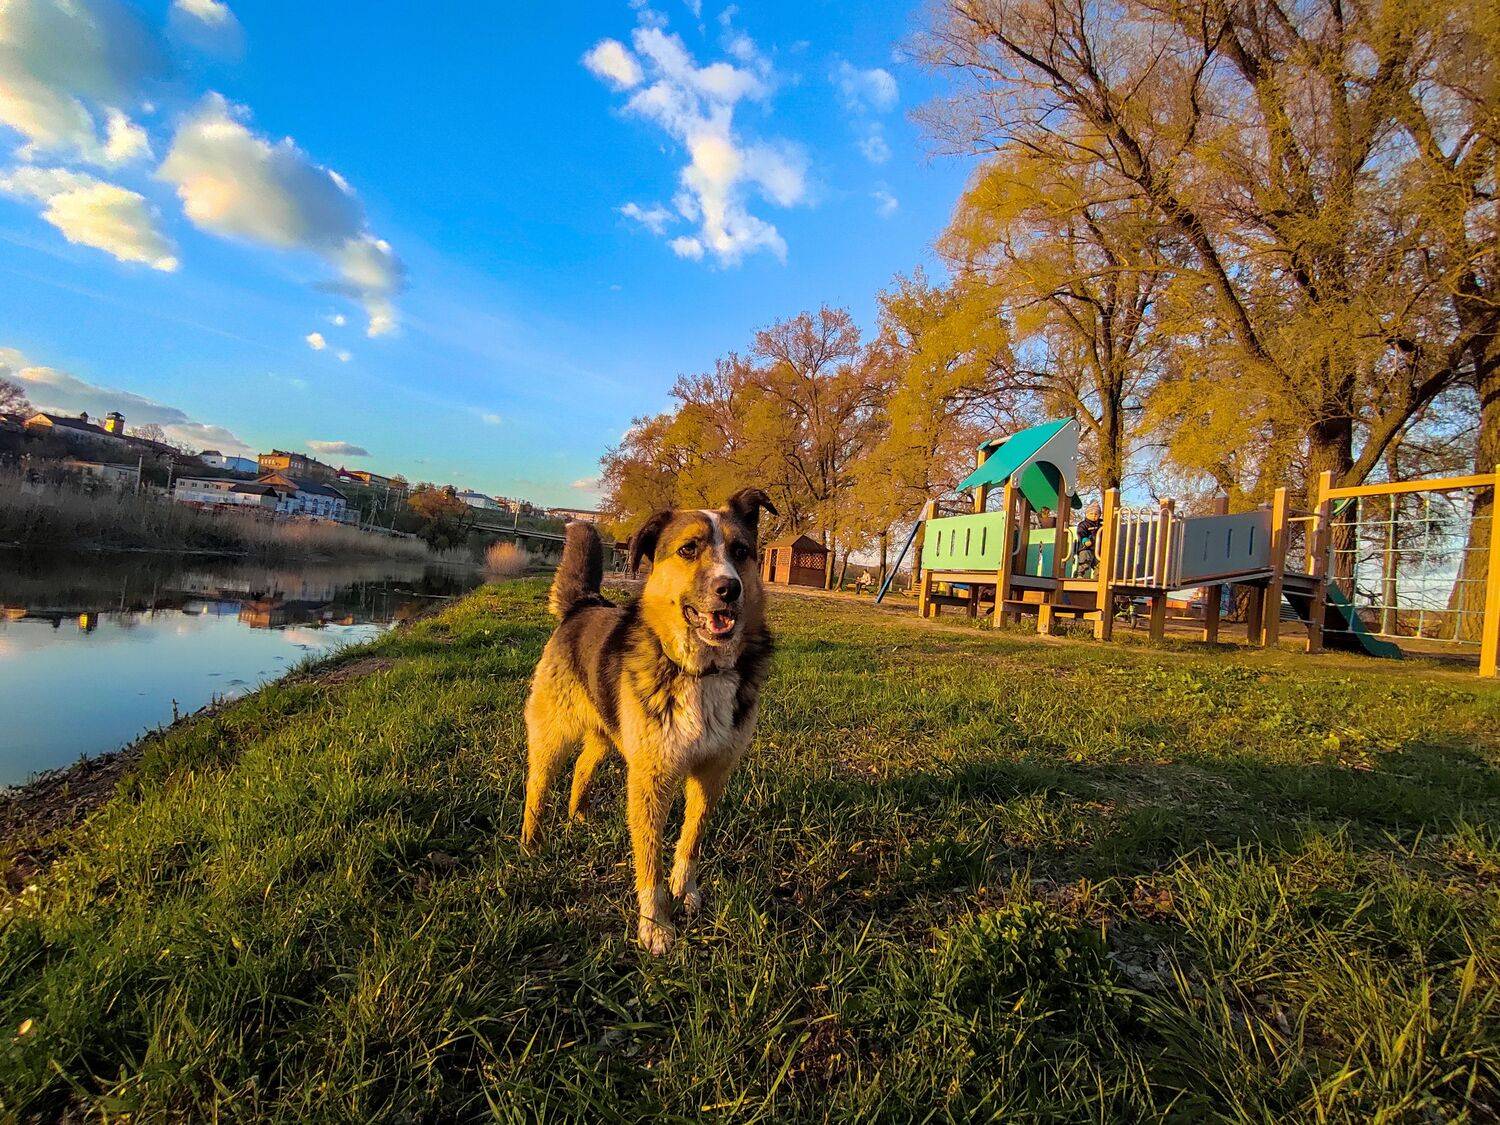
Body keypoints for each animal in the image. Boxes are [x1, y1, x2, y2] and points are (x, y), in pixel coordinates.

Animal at [521, 488, 777, 954]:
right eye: (688, 549)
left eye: (741, 551)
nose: (729, 588)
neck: (700, 671)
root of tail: (584, 605)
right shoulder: (651, 778)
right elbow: (650, 857)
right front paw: (655, 924)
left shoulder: (713, 773)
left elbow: (691, 838)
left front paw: (685, 890)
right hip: (553, 734)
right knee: (538, 786)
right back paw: (531, 842)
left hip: (607, 733)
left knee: (582, 768)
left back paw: (578, 816)